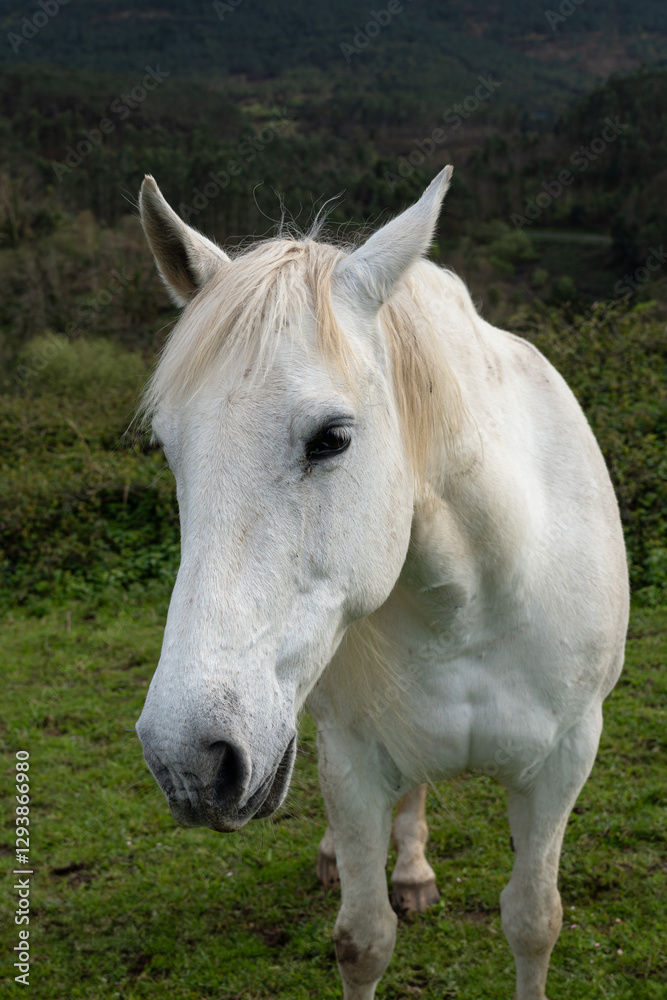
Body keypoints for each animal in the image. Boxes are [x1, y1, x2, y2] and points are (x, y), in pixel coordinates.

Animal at [135, 166, 629, 999]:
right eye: (169, 448)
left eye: (331, 438)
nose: (187, 759)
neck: (473, 597)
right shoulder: (353, 761)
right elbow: (362, 941)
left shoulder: (564, 760)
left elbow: (534, 920)